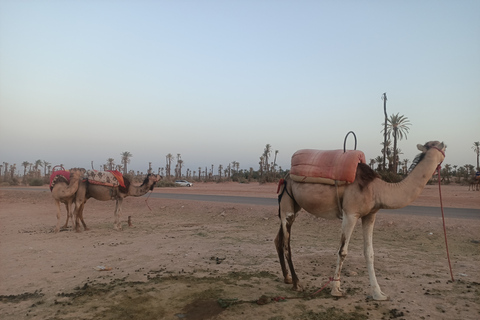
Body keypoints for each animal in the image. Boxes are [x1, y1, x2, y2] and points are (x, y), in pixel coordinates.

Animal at [276, 140, 448, 300]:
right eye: (440, 146)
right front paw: (336, 290)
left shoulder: (370, 215)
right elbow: (342, 251)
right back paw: (297, 284)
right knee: (286, 242)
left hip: (295, 206)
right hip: (287, 202)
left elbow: (369, 253)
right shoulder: (350, 213)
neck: (377, 189)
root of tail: (286, 176)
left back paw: (287, 278)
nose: (444, 145)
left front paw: (378, 294)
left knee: (278, 239)